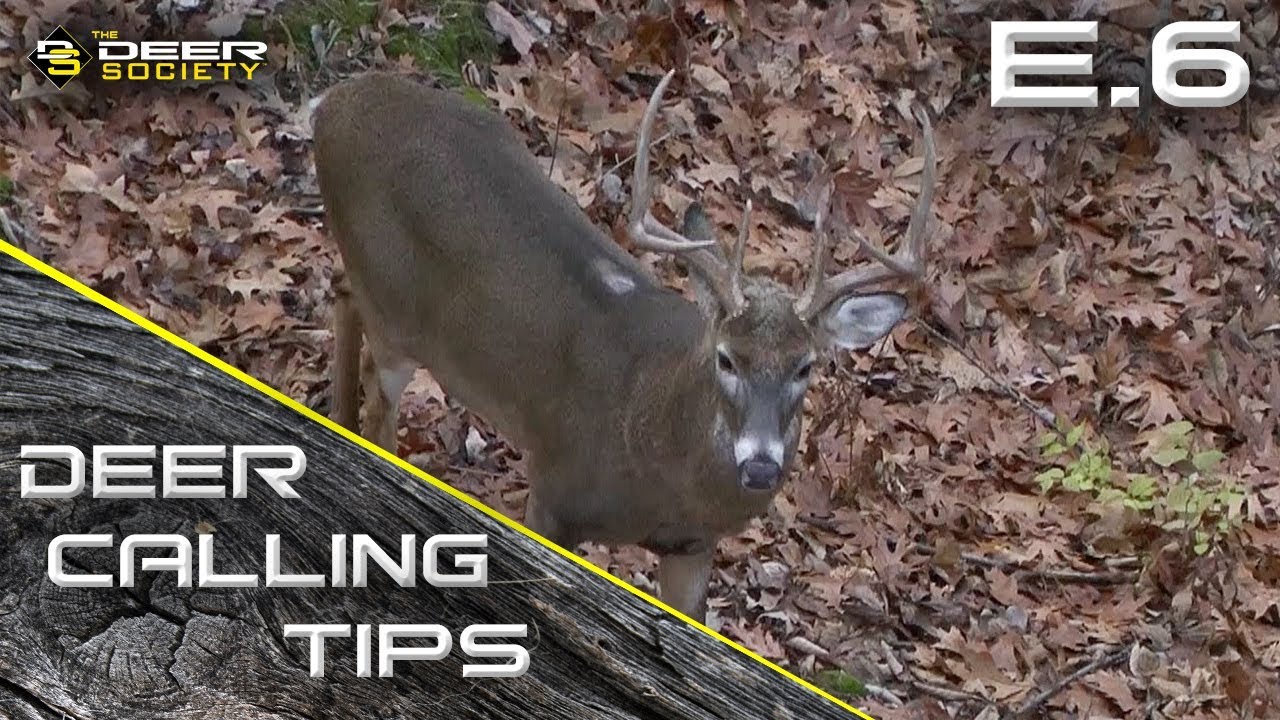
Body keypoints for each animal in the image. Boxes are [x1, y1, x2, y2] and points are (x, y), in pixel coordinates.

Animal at [312, 69, 936, 621]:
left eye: (805, 366)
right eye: (727, 358)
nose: (760, 467)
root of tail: (331, 105)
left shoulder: (693, 547)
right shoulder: (555, 488)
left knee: (340, 292)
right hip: (394, 316)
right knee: (380, 401)